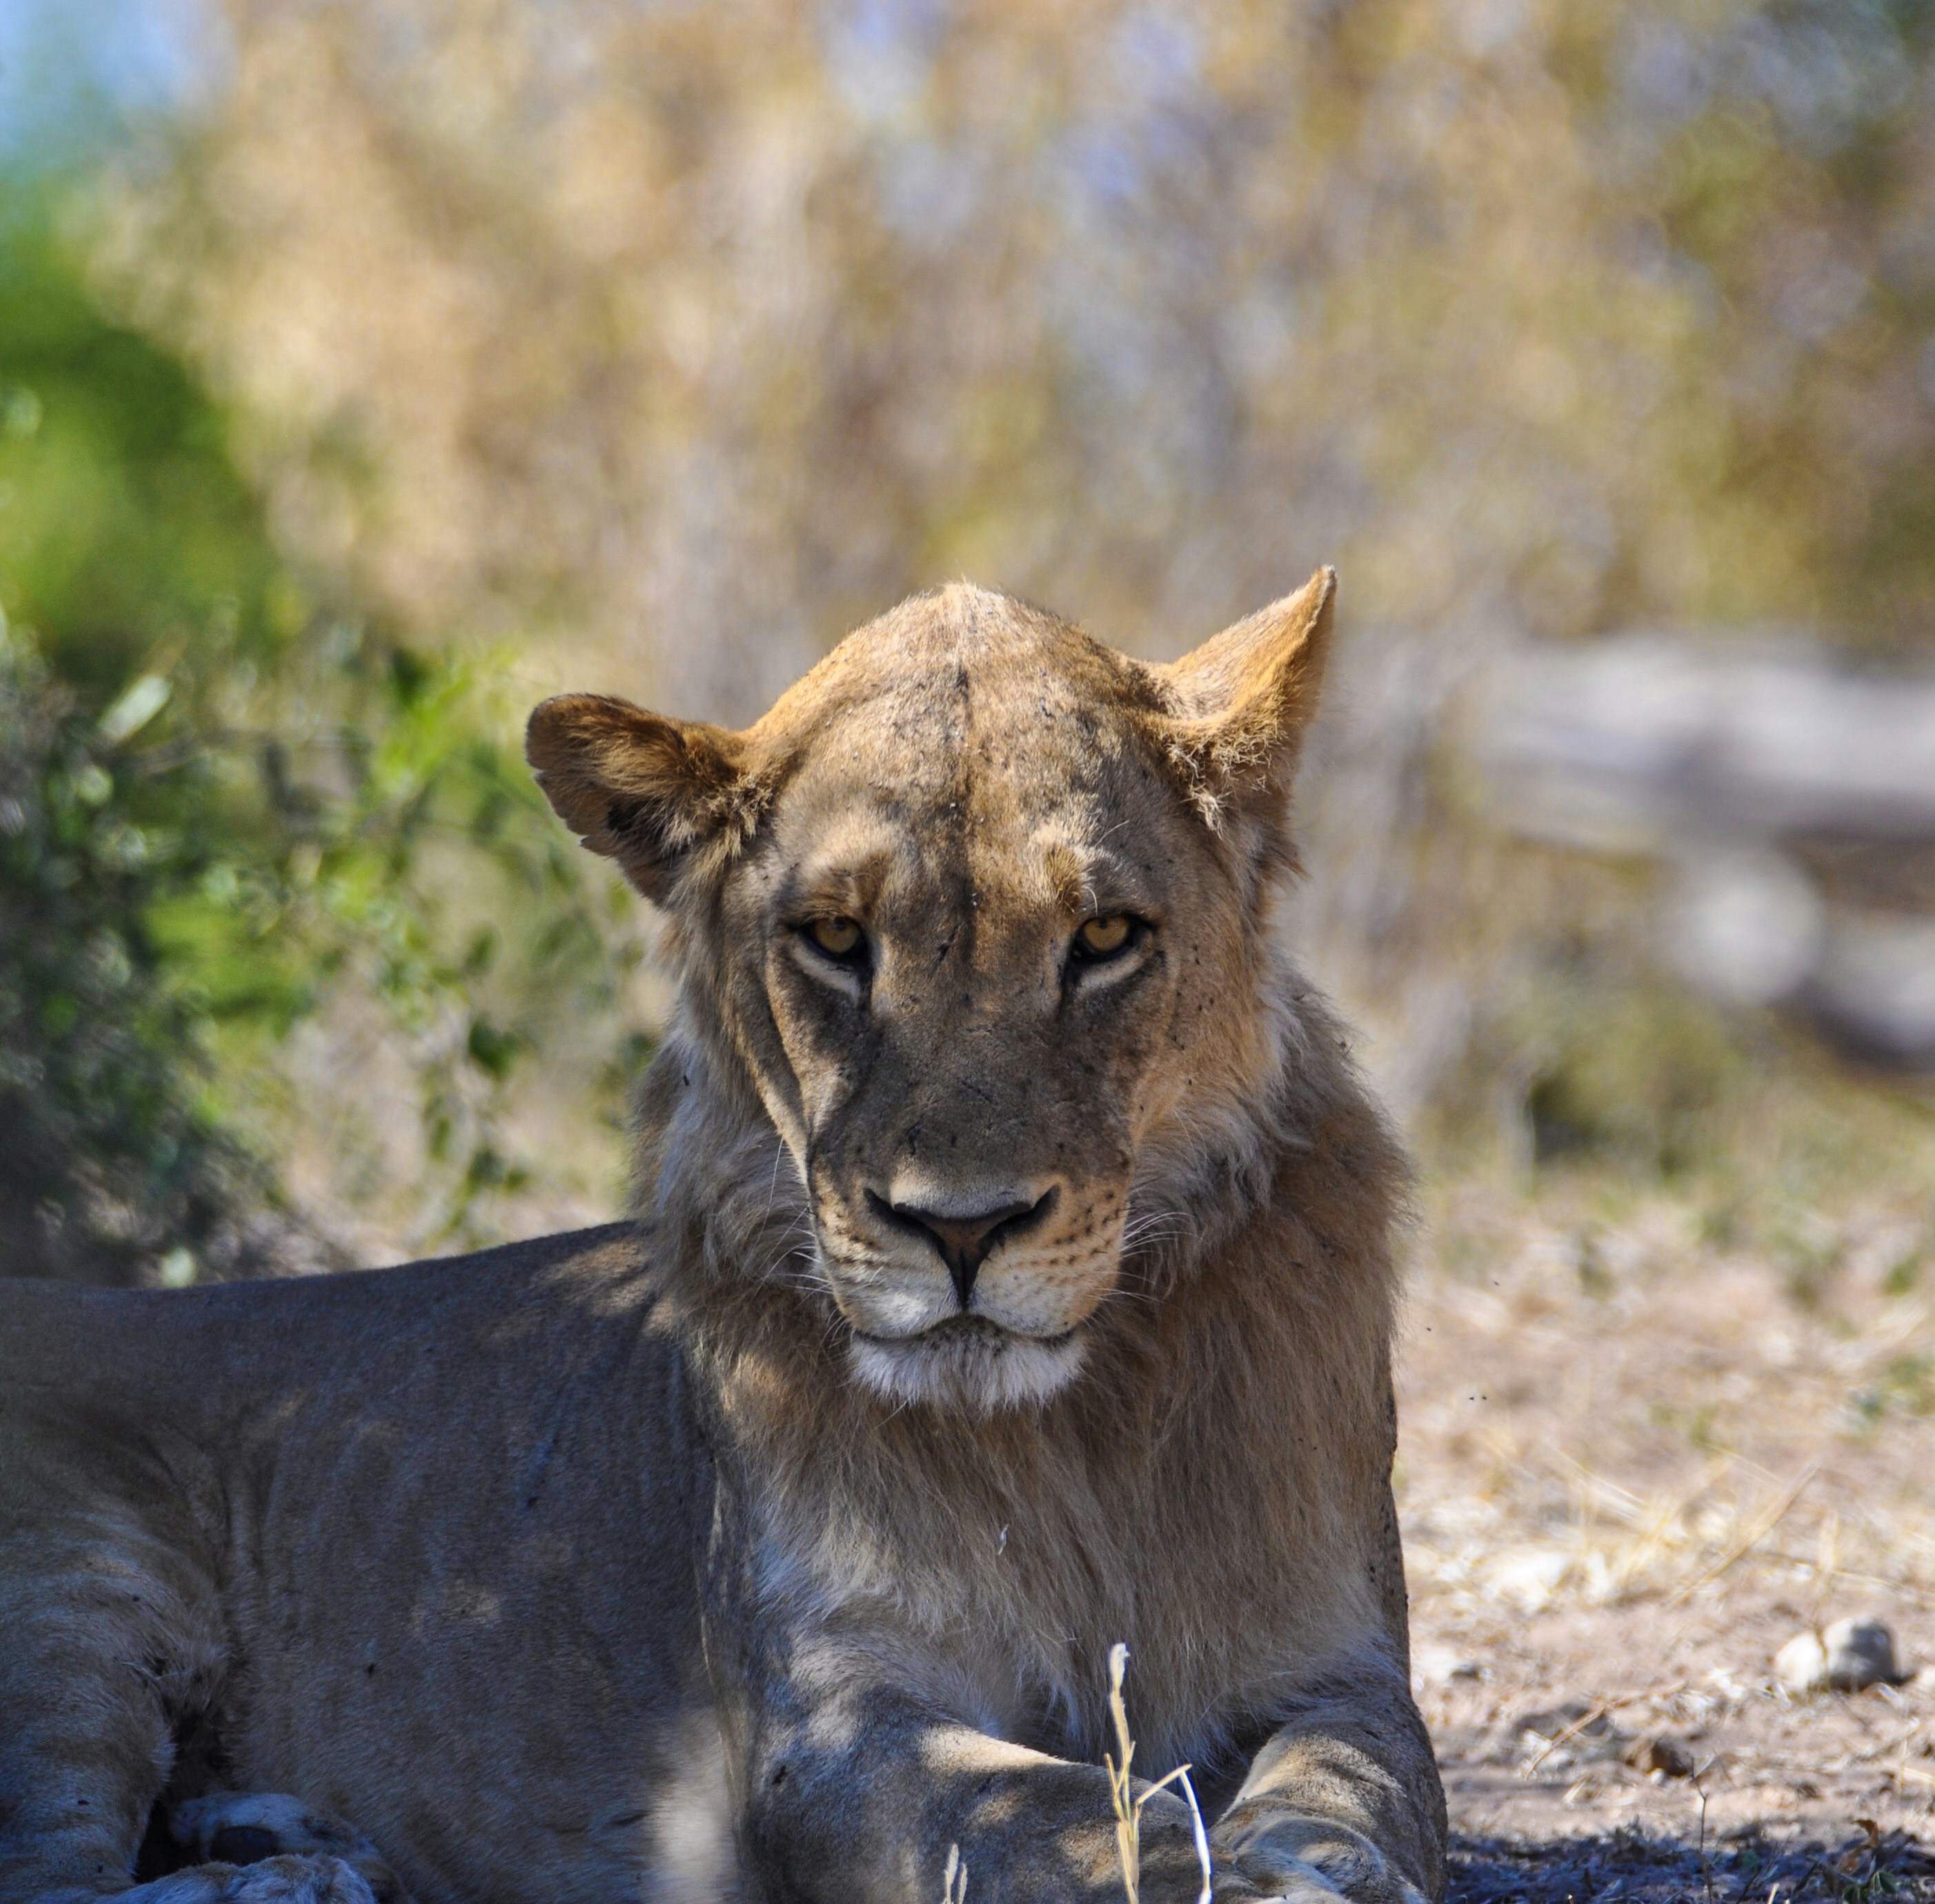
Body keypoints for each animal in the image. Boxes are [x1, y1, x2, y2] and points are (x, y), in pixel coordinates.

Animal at [0, 569, 1446, 1904]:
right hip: (78, 1597)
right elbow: (1090, 1810)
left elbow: (1352, 1794)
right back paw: (291, 1870)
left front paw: (1310, 1864)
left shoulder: (1341, 1666)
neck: (1061, 1440)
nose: (961, 1227)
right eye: (833, 938)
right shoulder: (832, 1730)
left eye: (1105, 936)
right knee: (56, 1876)